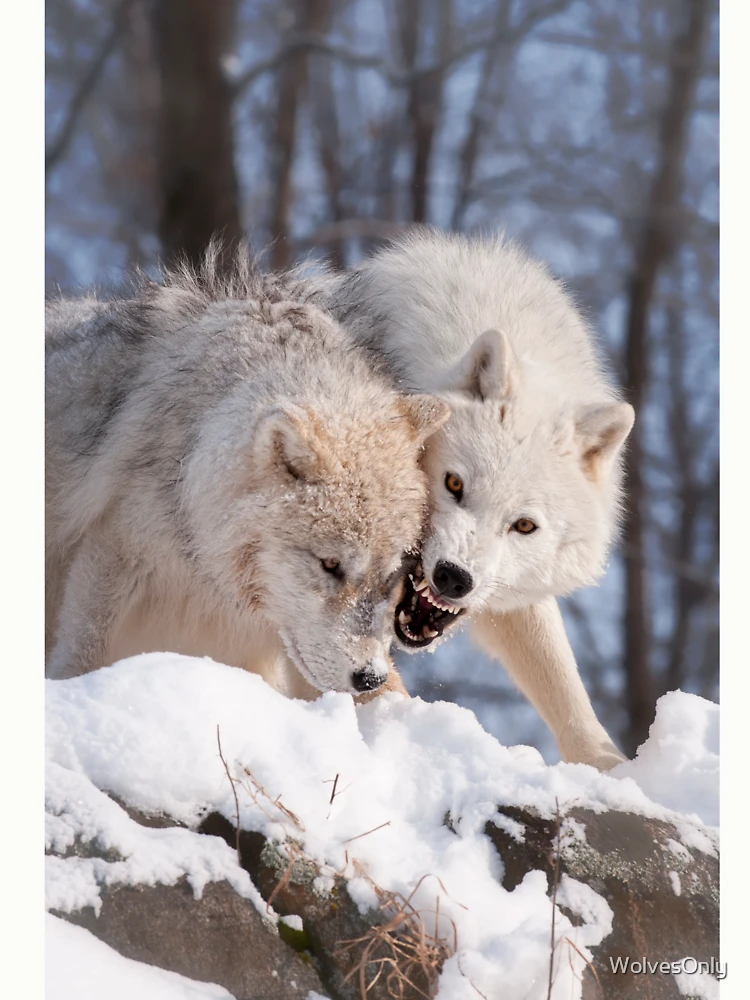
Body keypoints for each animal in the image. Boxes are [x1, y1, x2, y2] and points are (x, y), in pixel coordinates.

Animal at [319, 228, 635, 768]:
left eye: (524, 525)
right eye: (454, 485)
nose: (453, 577)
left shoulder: (513, 601)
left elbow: (565, 689)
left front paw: (615, 772)